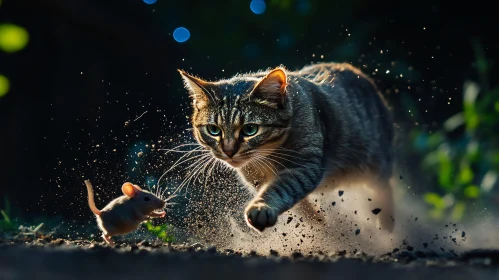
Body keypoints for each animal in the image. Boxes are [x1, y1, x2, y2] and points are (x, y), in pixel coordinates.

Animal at [179, 62, 394, 233]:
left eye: (250, 129)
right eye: (214, 130)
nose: (229, 151)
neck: (264, 160)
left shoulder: (304, 165)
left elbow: (282, 189)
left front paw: (261, 207)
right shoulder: (257, 179)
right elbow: (303, 210)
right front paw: (321, 225)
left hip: (374, 163)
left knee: (383, 188)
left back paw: (386, 223)